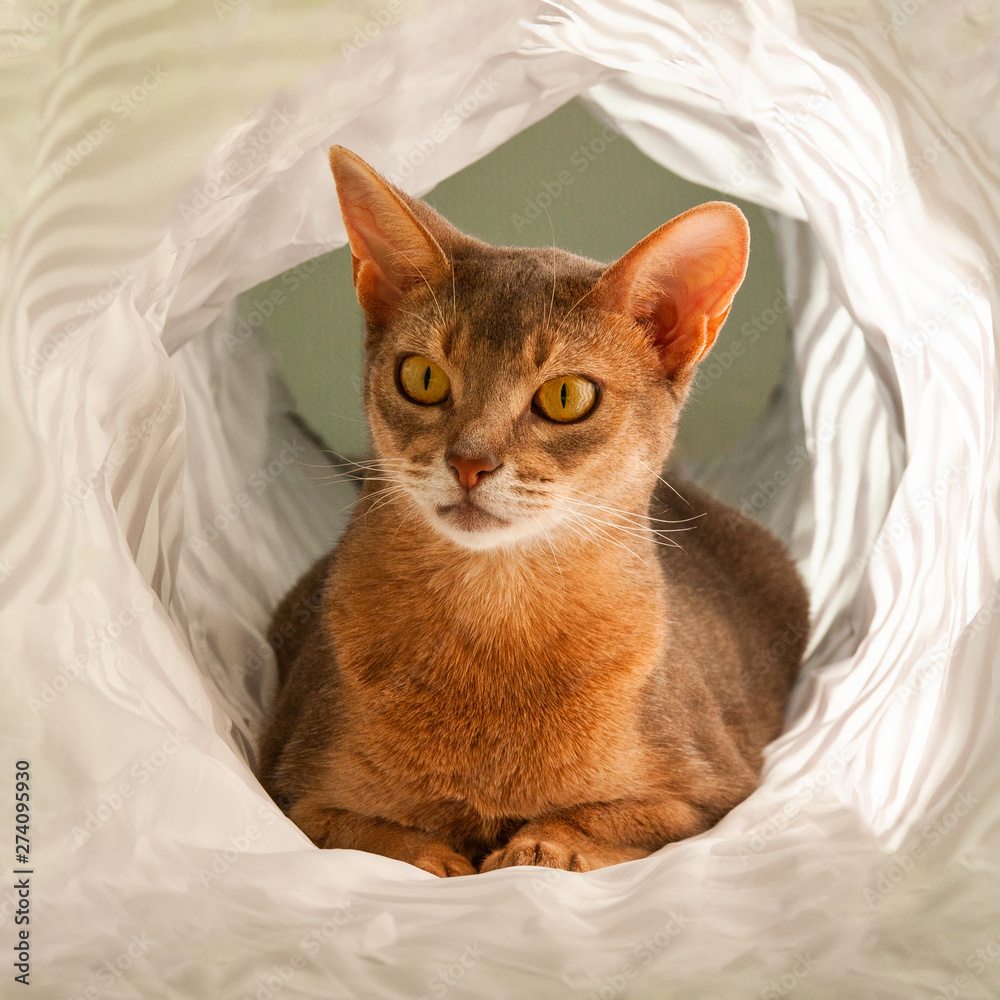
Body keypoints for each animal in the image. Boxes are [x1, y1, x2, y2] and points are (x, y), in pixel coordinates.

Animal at [254, 145, 808, 880]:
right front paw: (440, 859)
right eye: (421, 378)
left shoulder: (717, 792)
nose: (469, 462)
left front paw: (540, 847)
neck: (495, 621)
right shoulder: (291, 786)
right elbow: (366, 832)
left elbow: (614, 816)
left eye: (566, 396)